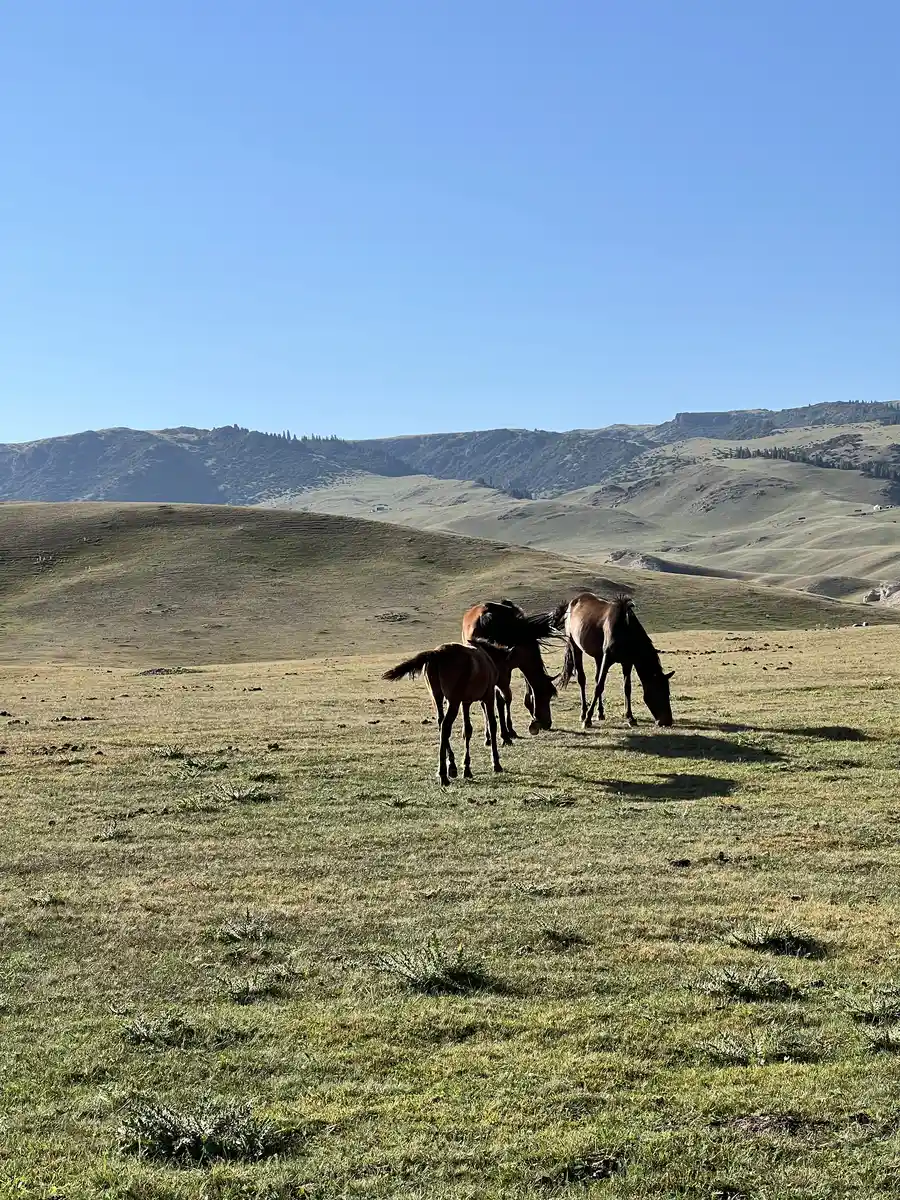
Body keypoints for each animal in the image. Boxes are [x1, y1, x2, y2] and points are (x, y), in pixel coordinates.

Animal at [383, 641, 509, 785]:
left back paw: (451, 767)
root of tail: (436, 653)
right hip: (453, 701)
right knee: (445, 726)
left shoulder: (465, 702)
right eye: (508, 669)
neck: (488, 660)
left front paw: (467, 768)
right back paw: (443, 774)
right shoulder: (488, 697)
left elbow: (467, 730)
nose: (506, 694)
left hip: (437, 697)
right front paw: (496, 764)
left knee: (441, 724)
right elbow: (492, 725)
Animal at [552, 592, 674, 727]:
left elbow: (627, 688)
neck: (625, 629)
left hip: (598, 657)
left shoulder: (627, 663)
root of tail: (571, 603)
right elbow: (599, 686)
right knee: (582, 679)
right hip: (575, 647)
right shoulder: (608, 658)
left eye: (668, 693)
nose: (668, 721)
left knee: (596, 678)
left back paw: (600, 713)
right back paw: (583, 713)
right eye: (658, 692)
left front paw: (630, 717)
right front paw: (587, 719)